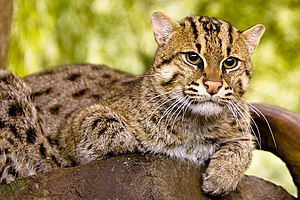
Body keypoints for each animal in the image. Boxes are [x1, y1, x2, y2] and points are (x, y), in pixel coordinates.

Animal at [0, 11, 264, 195]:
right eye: (193, 57)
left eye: (230, 62)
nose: (213, 85)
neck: (196, 125)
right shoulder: (71, 126)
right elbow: (101, 121)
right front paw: (133, 141)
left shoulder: (242, 127)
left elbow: (244, 144)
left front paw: (222, 176)